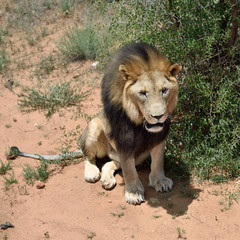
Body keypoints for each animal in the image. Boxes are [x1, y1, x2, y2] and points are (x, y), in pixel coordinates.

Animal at [8, 42, 181, 204]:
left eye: (164, 90)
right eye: (142, 93)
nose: (158, 116)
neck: (139, 120)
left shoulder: (160, 134)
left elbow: (158, 159)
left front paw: (160, 181)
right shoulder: (122, 136)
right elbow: (129, 170)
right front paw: (133, 192)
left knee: (110, 163)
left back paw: (107, 179)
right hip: (94, 127)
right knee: (89, 157)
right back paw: (92, 173)